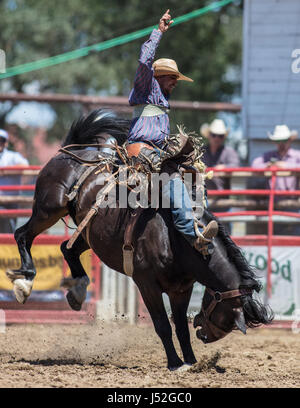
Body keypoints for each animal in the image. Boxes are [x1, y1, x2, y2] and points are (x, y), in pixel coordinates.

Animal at [6, 110, 274, 372]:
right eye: (228, 319)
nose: (204, 335)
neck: (179, 240)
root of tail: (71, 152)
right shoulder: (146, 283)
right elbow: (162, 325)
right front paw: (175, 363)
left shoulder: (181, 289)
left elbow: (180, 327)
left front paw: (190, 360)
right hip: (49, 208)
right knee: (22, 235)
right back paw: (24, 283)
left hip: (89, 234)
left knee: (67, 248)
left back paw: (78, 291)